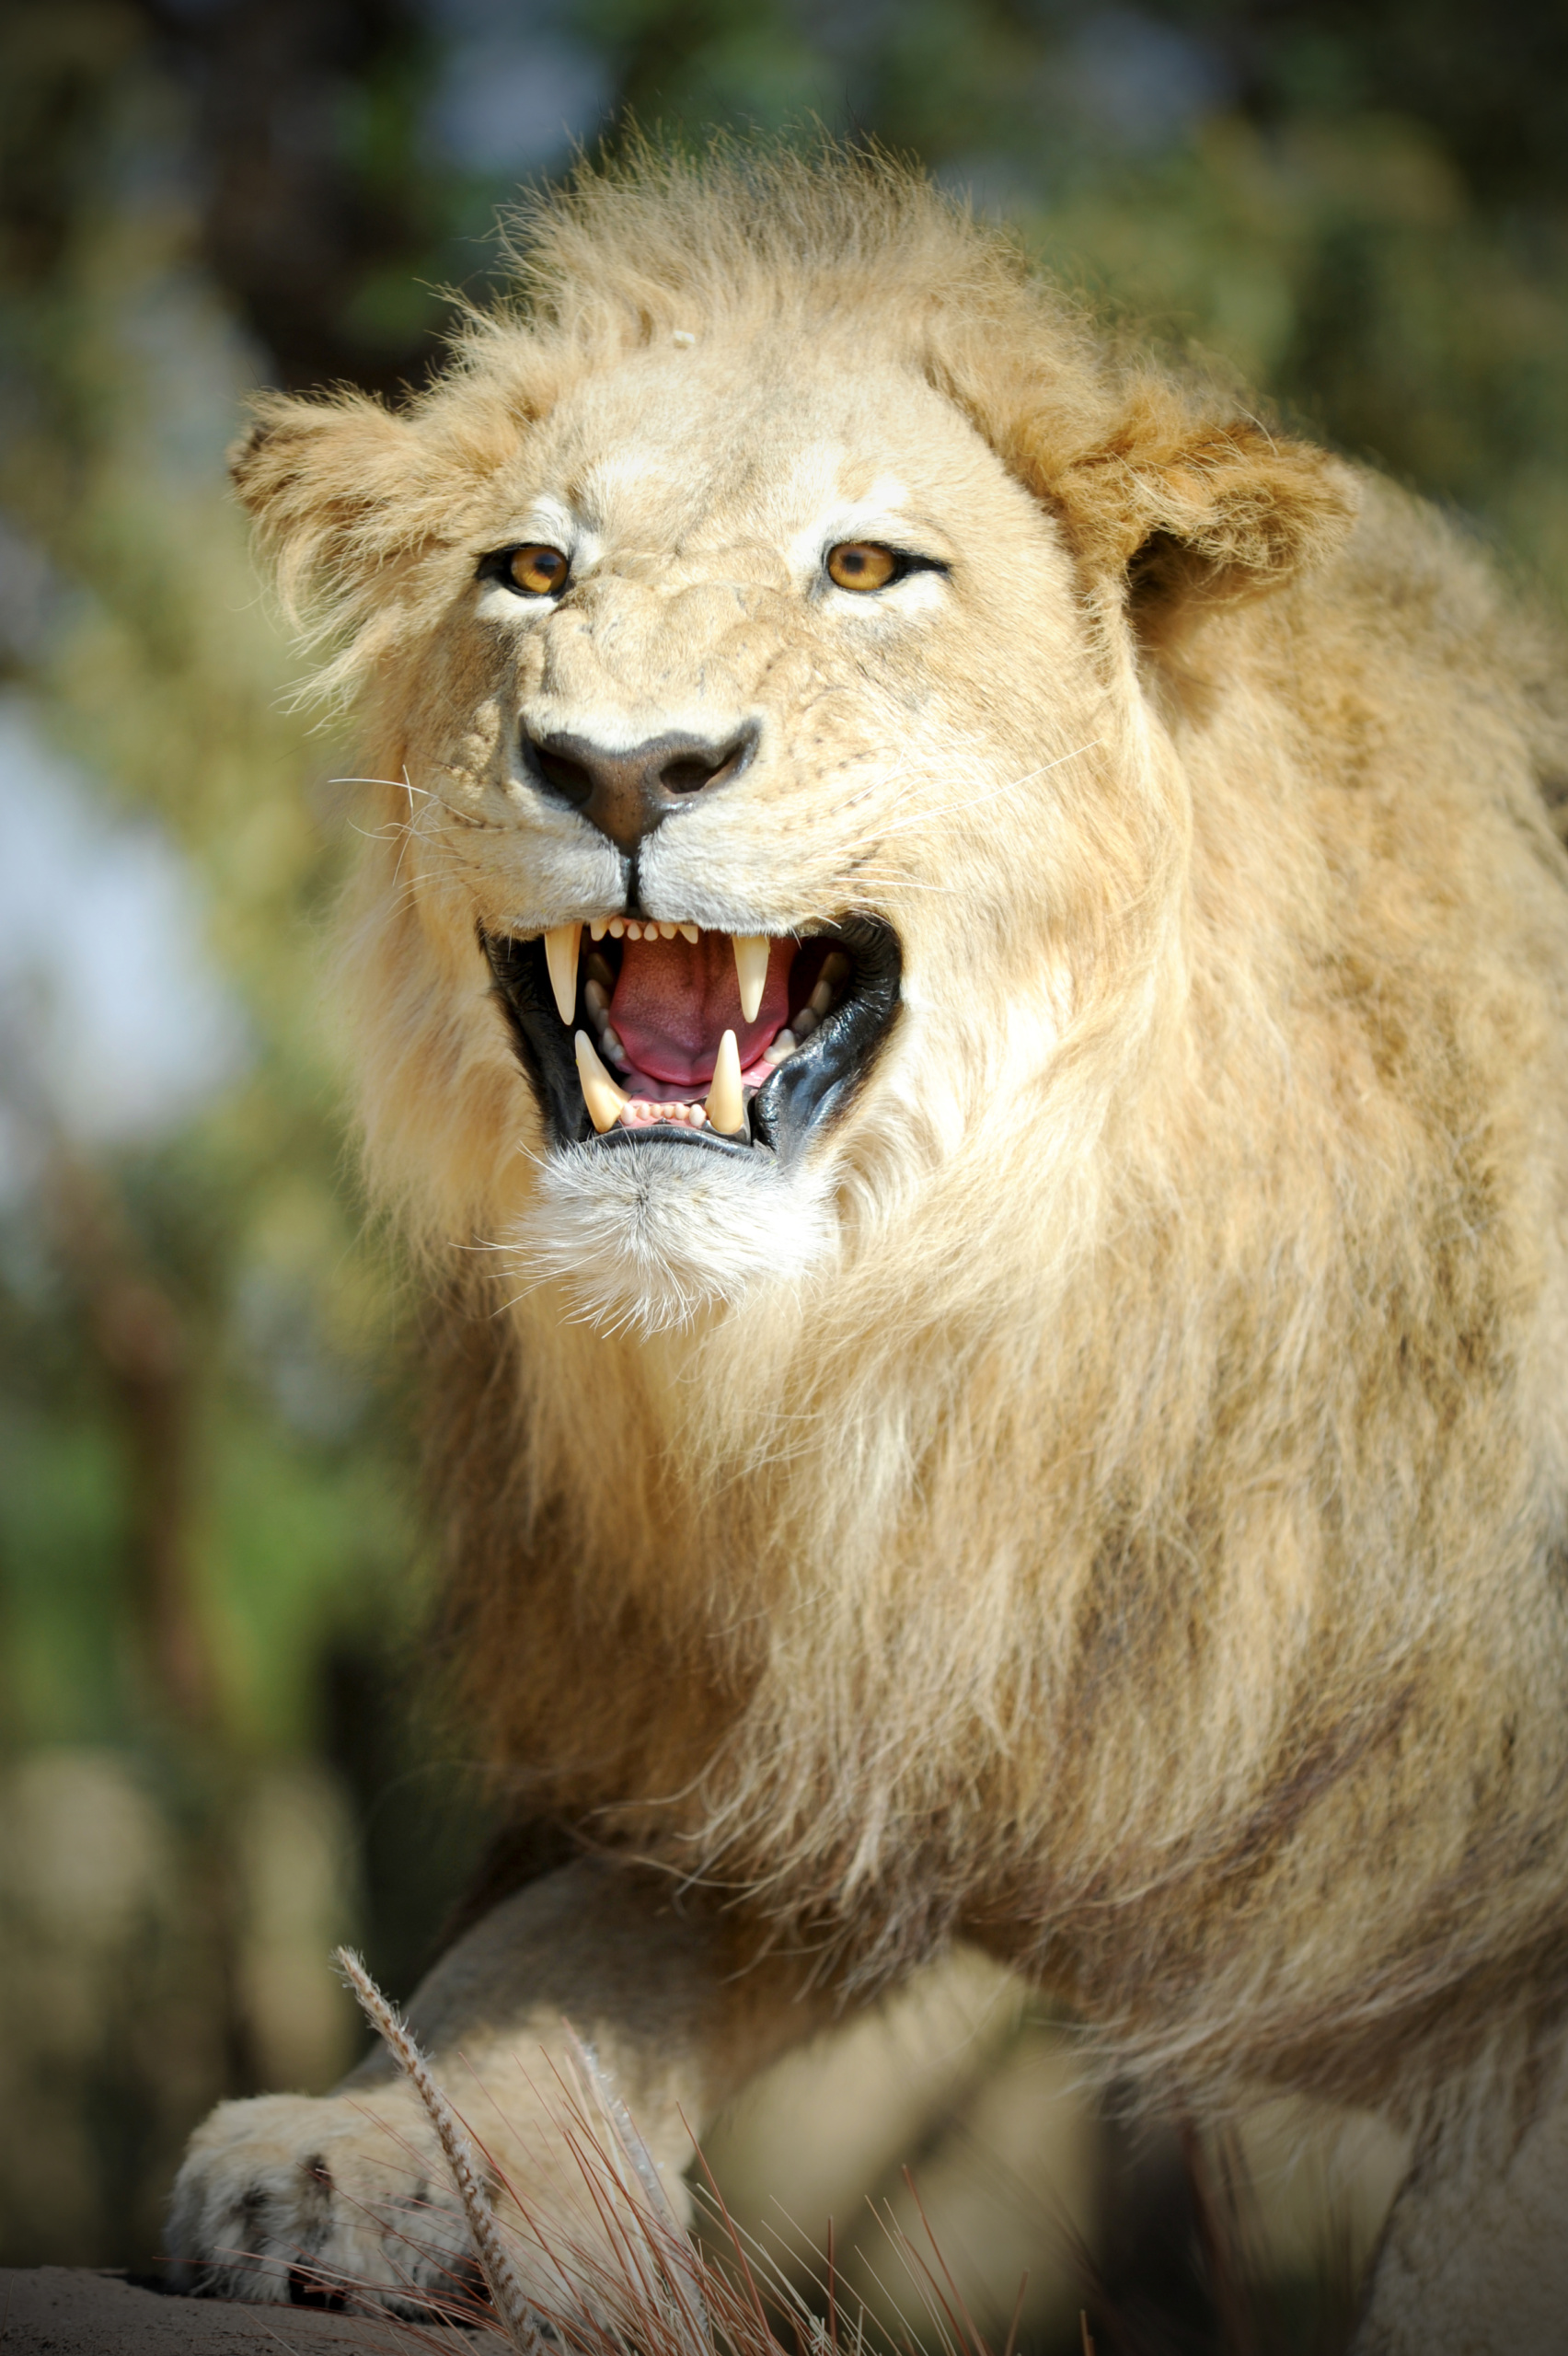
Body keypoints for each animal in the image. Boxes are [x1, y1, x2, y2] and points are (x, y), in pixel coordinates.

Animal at [166, 145, 1568, 2348]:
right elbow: (554, 1951)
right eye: (529, 573)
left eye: (867, 567)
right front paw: (370, 2151)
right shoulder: (830, 1707)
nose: (624, 765)